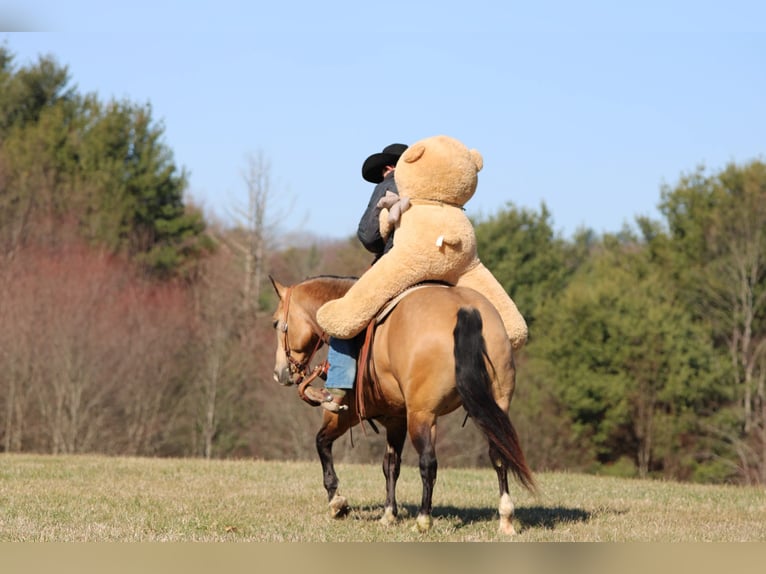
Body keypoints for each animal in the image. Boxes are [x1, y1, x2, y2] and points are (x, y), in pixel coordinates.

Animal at [270, 275, 536, 534]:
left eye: (275, 323)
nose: (279, 373)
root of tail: (466, 309)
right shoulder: (395, 420)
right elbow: (391, 465)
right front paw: (388, 514)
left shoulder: (347, 415)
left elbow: (322, 443)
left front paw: (337, 503)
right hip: (496, 406)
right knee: (499, 455)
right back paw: (506, 519)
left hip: (422, 415)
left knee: (428, 462)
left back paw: (423, 520)